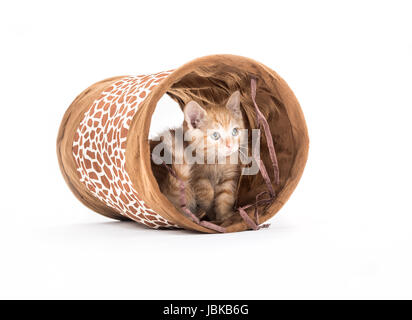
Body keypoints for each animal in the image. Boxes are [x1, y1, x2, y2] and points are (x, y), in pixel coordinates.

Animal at [154, 90, 245, 222]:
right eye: (215, 135)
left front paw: (224, 217)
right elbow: (207, 194)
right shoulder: (197, 179)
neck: (216, 161)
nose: (230, 146)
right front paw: (212, 215)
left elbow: (225, 196)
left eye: (235, 132)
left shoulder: (228, 177)